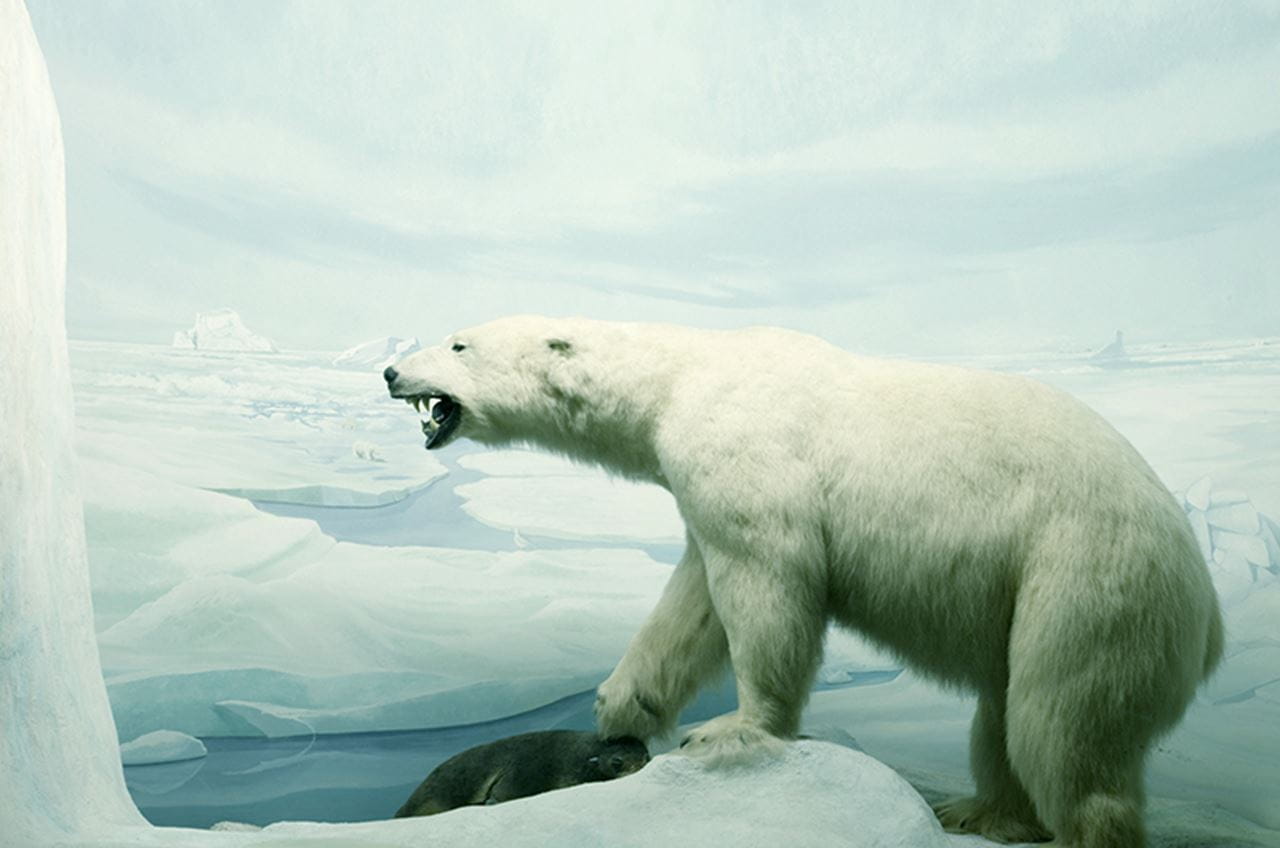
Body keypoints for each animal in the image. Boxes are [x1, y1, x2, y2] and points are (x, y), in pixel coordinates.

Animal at [384, 315, 1223, 848]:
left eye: (459, 339)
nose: (391, 370)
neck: (681, 376)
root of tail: (1210, 611)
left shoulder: (747, 452)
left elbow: (768, 584)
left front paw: (732, 729)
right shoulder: (701, 483)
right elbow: (694, 601)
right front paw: (622, 703)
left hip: (1088, 572)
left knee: (1060, 724)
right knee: (1004, 714)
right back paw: (979, 814)